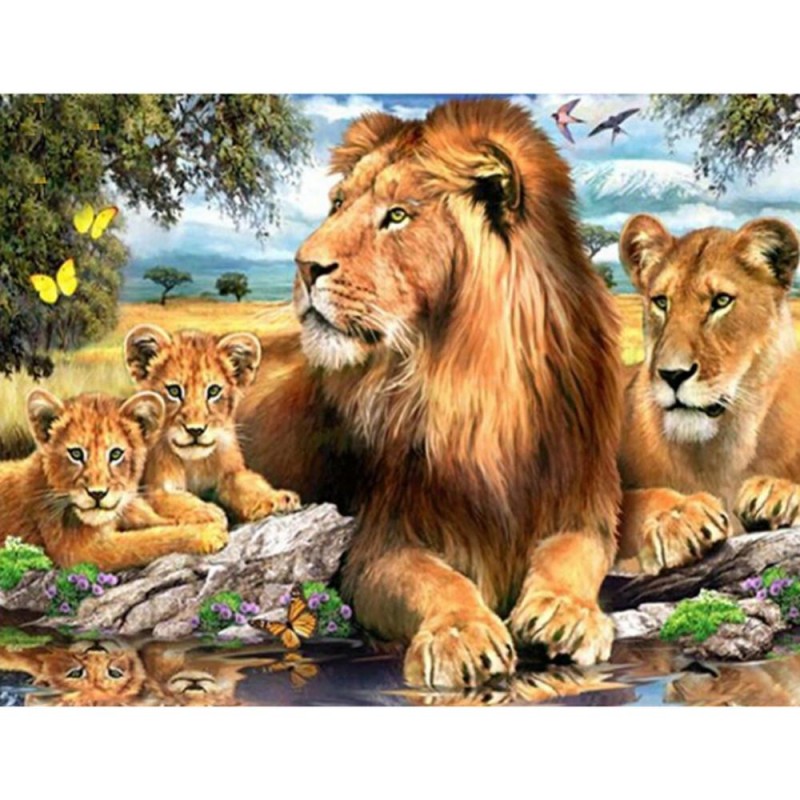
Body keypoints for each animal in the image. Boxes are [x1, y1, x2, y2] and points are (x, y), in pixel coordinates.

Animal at [0, 390, 228, 569]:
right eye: (76, 454)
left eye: (116, 454)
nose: (97, 494)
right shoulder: (80, 552)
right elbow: (148, 541)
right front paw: (207, 533)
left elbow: (152, 514)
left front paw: (206, 512)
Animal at [124, 326, 301, 524]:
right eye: (174, 391)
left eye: (214, 390)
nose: (195, 430)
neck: (194, 463)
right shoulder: (154, 489)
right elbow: (177, 499)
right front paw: (205, 511)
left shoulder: (231, 472)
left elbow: (250, 484)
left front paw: (278, 498)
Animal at [238, 98, 623, 688]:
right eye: (338, 205)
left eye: (397, 215)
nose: (304, 266)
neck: (473, 389)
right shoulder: (374, 543)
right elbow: (431, 578)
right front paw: (462, 634)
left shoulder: (583, 501)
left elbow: (574, 551)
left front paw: (565, 612)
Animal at [616, 214, 800, 573]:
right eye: (662, 302)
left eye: (721, 301)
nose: (673, 374)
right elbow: (633, 500)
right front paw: (679, 517)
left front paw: (774, 493)